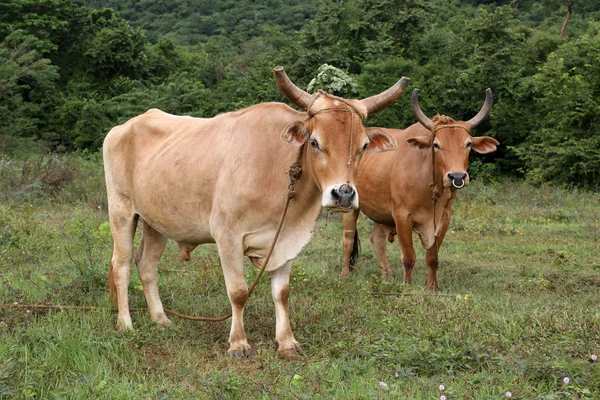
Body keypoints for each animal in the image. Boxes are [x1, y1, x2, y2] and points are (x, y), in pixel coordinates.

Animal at [105, 67, 410, 358]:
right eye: (314, 142)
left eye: (364, 146)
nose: (343, 194)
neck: (278, 169)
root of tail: (123, 127)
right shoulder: (227, 237)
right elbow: (238, 293)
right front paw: (238, 343)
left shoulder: (287, 238)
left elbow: (282, 293)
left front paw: (287, 342)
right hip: (121, 211)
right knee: (121, 265)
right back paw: (125, 324)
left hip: (156, 222)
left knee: (146, 265)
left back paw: (161, 319)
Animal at [340, 87, 500, 290]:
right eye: (436, 144)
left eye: (468, 144)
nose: (457, 177)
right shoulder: (402, 217)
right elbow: (409, 258)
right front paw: (407, 286)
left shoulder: (443, 219)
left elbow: (432, 258)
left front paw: (433, 288)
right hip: (349, 206)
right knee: (348, 239)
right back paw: (345, 274)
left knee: (378, 241)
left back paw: (387, 277)